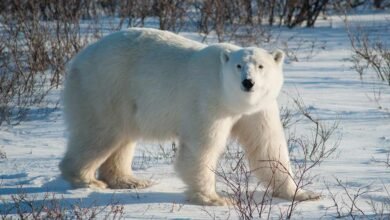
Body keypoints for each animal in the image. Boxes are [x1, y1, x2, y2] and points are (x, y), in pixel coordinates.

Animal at [58, 27, 320, 206]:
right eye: (238, 66)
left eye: (261, 66)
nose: (248, 82)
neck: (230, 98)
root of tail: (78, 58)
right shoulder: (208, 101)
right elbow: (201, 146)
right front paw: (214, 198)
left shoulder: (258, 109)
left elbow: (267, 146)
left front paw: (304, 193)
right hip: (105, 87)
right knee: (99, 133)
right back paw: (87, 180)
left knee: (122, 137)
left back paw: (129, 180)